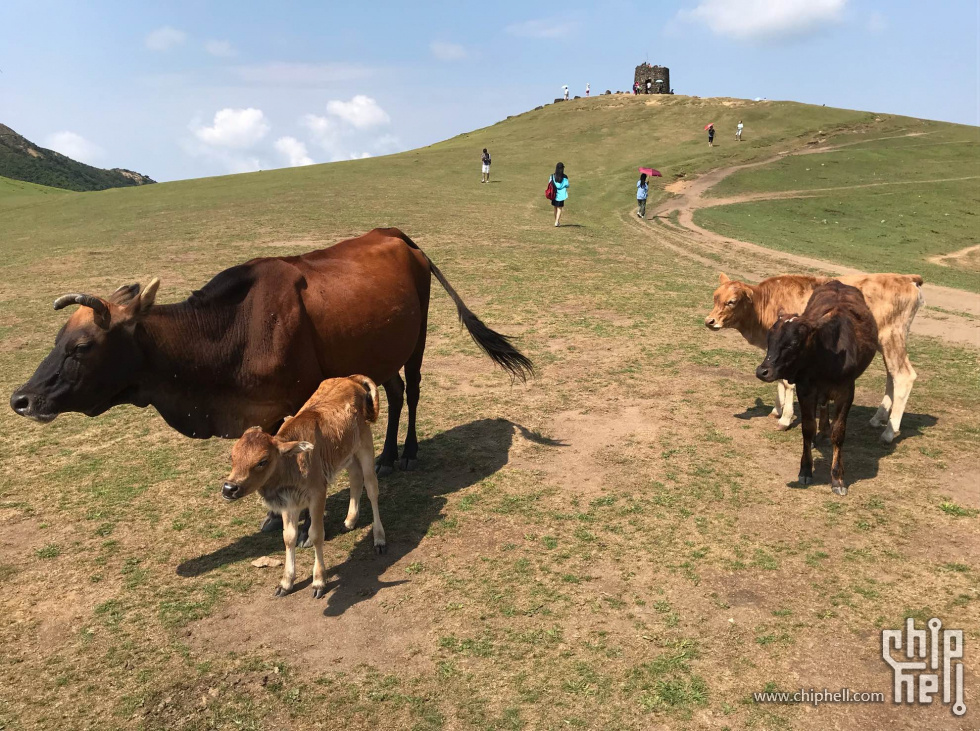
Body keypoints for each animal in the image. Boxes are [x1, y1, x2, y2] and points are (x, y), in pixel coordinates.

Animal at [7, 229, 532, 478]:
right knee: (398, 392)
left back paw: (408, 453)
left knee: (416, 389)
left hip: (416, 340)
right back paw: (384, 456)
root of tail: (397, 235)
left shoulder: (290, 398)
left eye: (80, 347)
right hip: (380, 352)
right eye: (56, 339)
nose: (21, 399)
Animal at [222, 378, 386, 600]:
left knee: (371, 488)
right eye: (232, 456)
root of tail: (353, 379)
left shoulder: (317, 494)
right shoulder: (289, 502)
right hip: (347, 455)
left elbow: (315, 533)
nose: (229, 488)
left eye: (262, 461)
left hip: (365, 448)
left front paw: (318, 582)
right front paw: (286, 582)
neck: (292, 463)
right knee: (355, 478)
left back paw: (379, 539)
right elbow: (288, 537)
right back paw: (349, 521)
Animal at [700, 274, 924, 440]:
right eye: (715, 297)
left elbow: (787, 384)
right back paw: (879, 418)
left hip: (891, 338)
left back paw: (890, 431)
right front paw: (777, 409)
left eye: (731, 301)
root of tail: (906, 278)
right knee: (891, 375)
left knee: (903, 376)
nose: (709, 321)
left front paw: (785, 418)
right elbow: (779, 380)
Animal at [756, 282, 880, 498]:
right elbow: (807, 428)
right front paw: (805, 470)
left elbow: (839, 433)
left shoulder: (846, 392)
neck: (827, 358)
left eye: (793, 343)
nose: (763, 371)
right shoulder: (805, 389)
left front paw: (838, 478)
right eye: (770, 339)